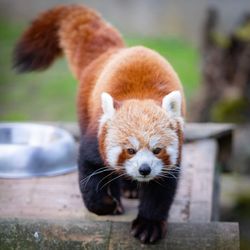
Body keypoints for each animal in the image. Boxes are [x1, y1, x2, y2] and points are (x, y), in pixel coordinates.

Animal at [13, 4, 186, 244]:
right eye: (129, 150)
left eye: (157, 149)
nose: (144, 169)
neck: (141, 96)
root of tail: (112, 52)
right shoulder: (95, 138)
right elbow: (90, 174)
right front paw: (107, 204)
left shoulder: (173, 158)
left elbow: (160, 191)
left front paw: (149, 225)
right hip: (84, 107)